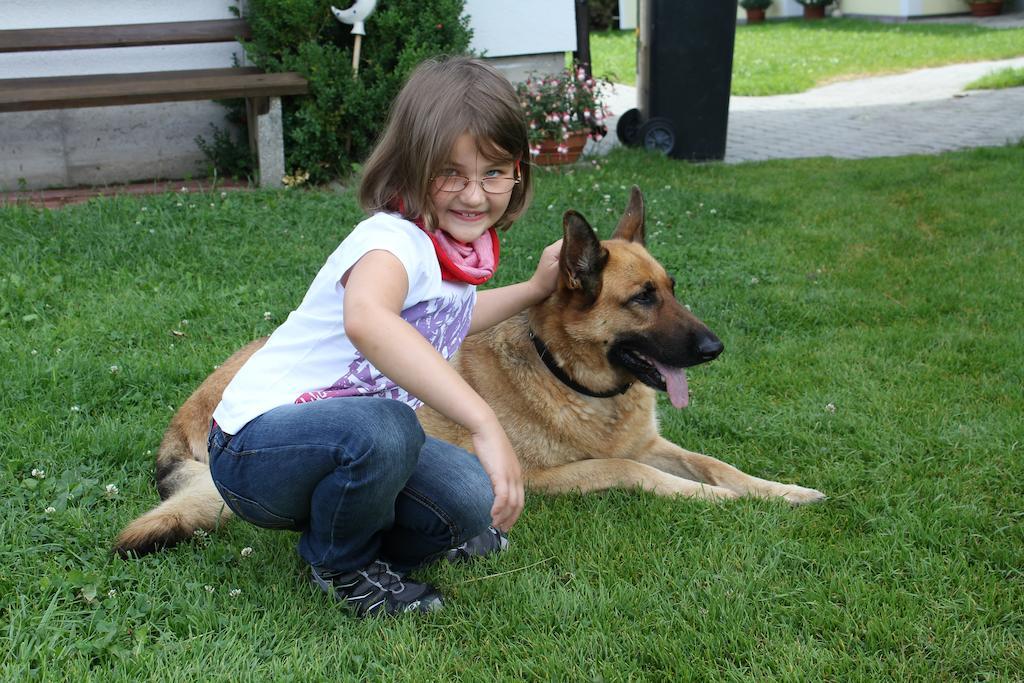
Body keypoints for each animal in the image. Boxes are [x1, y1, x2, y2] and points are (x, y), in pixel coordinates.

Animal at [116, 185, 823, 557]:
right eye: (642, 299)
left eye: (672, 289)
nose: (715, 348)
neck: (566, 376)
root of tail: (185, 422)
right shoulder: (554, 477)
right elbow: (643, 474)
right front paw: (724, 502)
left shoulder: (650, 441)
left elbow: (716, 463)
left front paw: (780, 491)